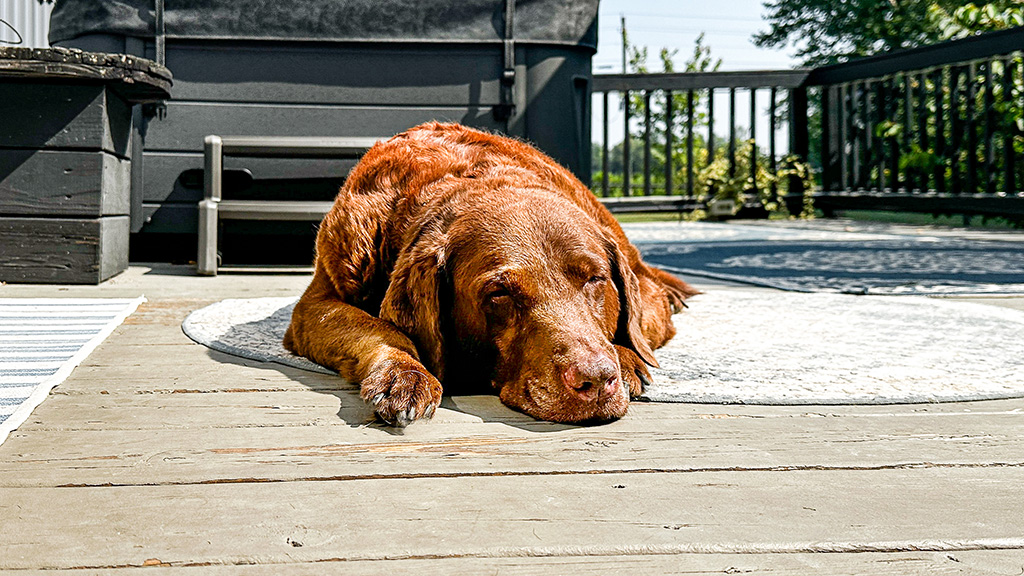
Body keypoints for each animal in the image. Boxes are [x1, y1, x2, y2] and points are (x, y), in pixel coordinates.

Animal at [284, 123, 700, 424]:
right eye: (499, 294)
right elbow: (378, 328)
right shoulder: (315, 305)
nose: (596, 380)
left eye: (595, 279)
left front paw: (626, 358)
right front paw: (403, 374)